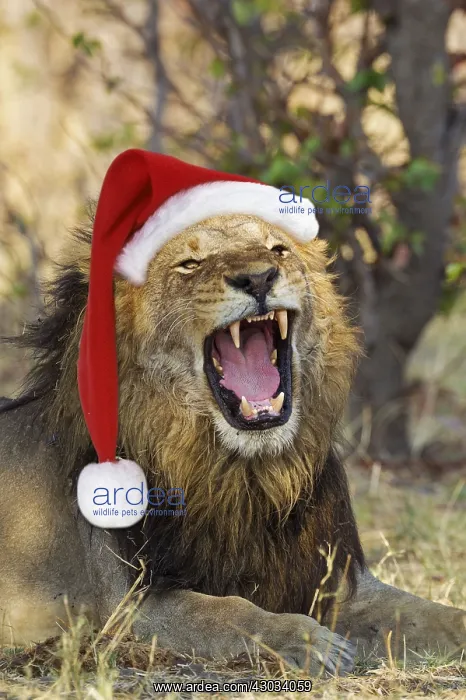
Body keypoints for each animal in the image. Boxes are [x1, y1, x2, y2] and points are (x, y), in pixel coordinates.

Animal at [0, 209, 464, 675]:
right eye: (190, 265)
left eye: (278, 250)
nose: (258, 278)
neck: (249, 476)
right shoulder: (129, 605)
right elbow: (227, 611)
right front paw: (309, 641)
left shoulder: (340, 582)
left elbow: (434, 615)